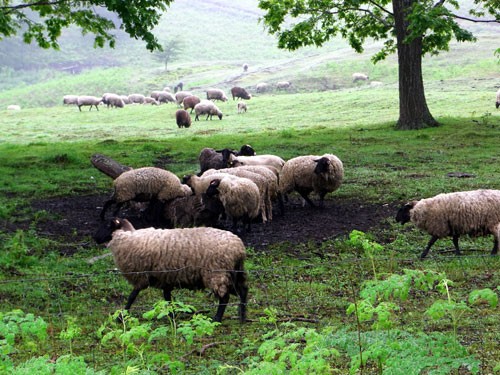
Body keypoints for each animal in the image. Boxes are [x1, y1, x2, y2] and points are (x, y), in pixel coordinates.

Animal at [92, 219, 248, 324]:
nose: (95, 238)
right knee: (243, 290)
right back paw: (242, 316)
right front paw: (172, 315)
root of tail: (239, 247)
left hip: (217, 273)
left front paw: (121, 317)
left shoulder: (141, 276)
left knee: (224, 297)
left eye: (107, 225)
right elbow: (167, 298)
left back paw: (217, 318)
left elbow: (132, 296)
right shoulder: (165, 277)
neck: (127, 238)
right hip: (234, 272)